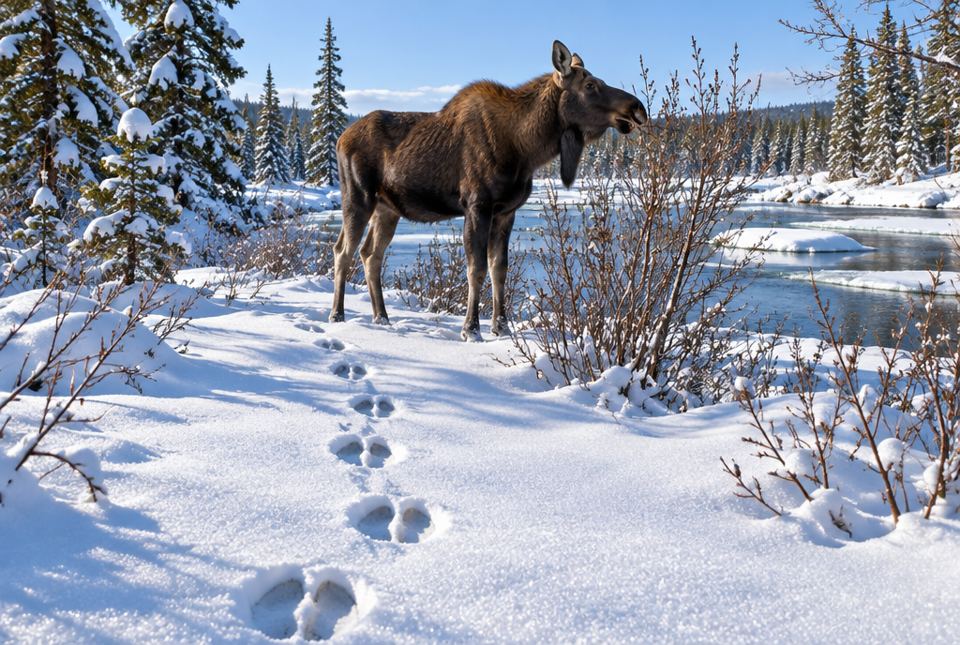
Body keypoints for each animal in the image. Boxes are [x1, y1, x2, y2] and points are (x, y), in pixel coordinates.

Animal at [330, 40, 647, 340]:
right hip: (358, 198)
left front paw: (501, 327)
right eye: (590, 85)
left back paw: (381, 317)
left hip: (387, 209)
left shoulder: (506, 212)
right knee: (343, 250)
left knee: (370, 255)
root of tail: (340, 138)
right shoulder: (477, 206)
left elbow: (499, 269)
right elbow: (477, 269)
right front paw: (471, 329)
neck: (527, 149)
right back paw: (338, 315)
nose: (637, 108)